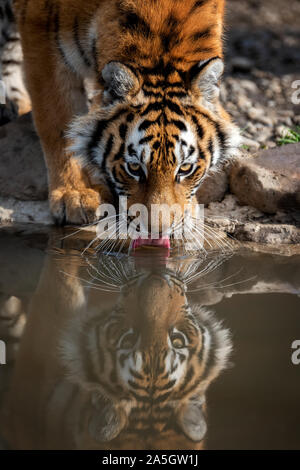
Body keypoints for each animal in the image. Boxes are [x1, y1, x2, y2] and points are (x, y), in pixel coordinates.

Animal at [12, 0, 240, 235]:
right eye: (134, 168)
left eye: (185, 168)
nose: (157, 231)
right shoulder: (41, 32)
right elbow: (59, 124)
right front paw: (75, 194)